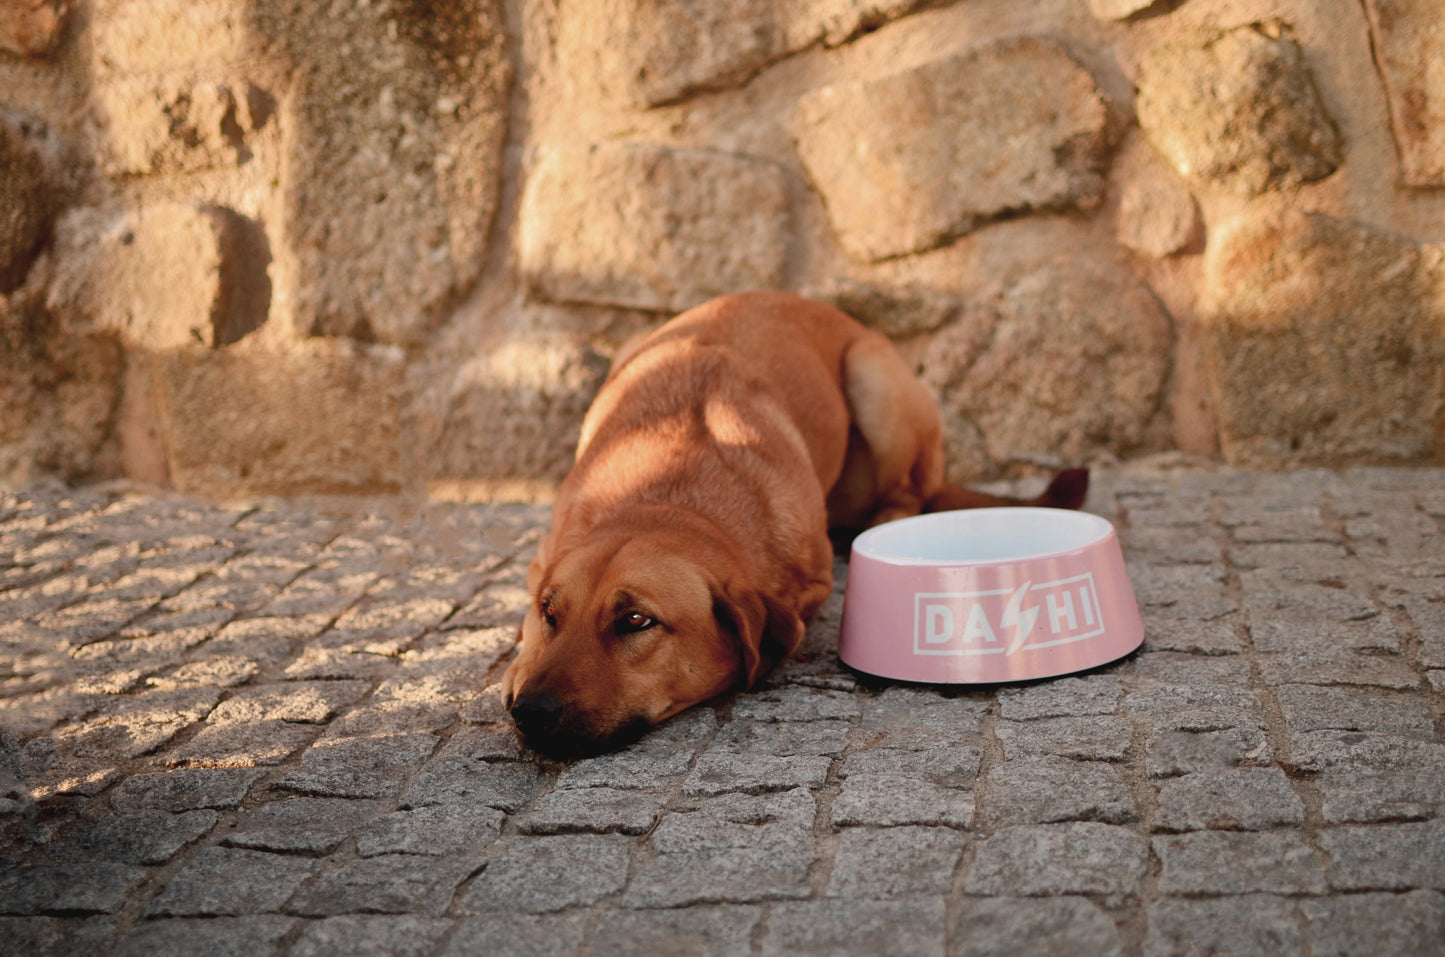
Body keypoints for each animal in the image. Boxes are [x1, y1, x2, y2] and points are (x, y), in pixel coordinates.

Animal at [499, 292, 1086, 757]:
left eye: (636, 621)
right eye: (550, 613)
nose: (531, 711)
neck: (669, 494)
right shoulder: (542, 559)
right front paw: (517, 664)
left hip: (875, 378)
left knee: (907, 493)